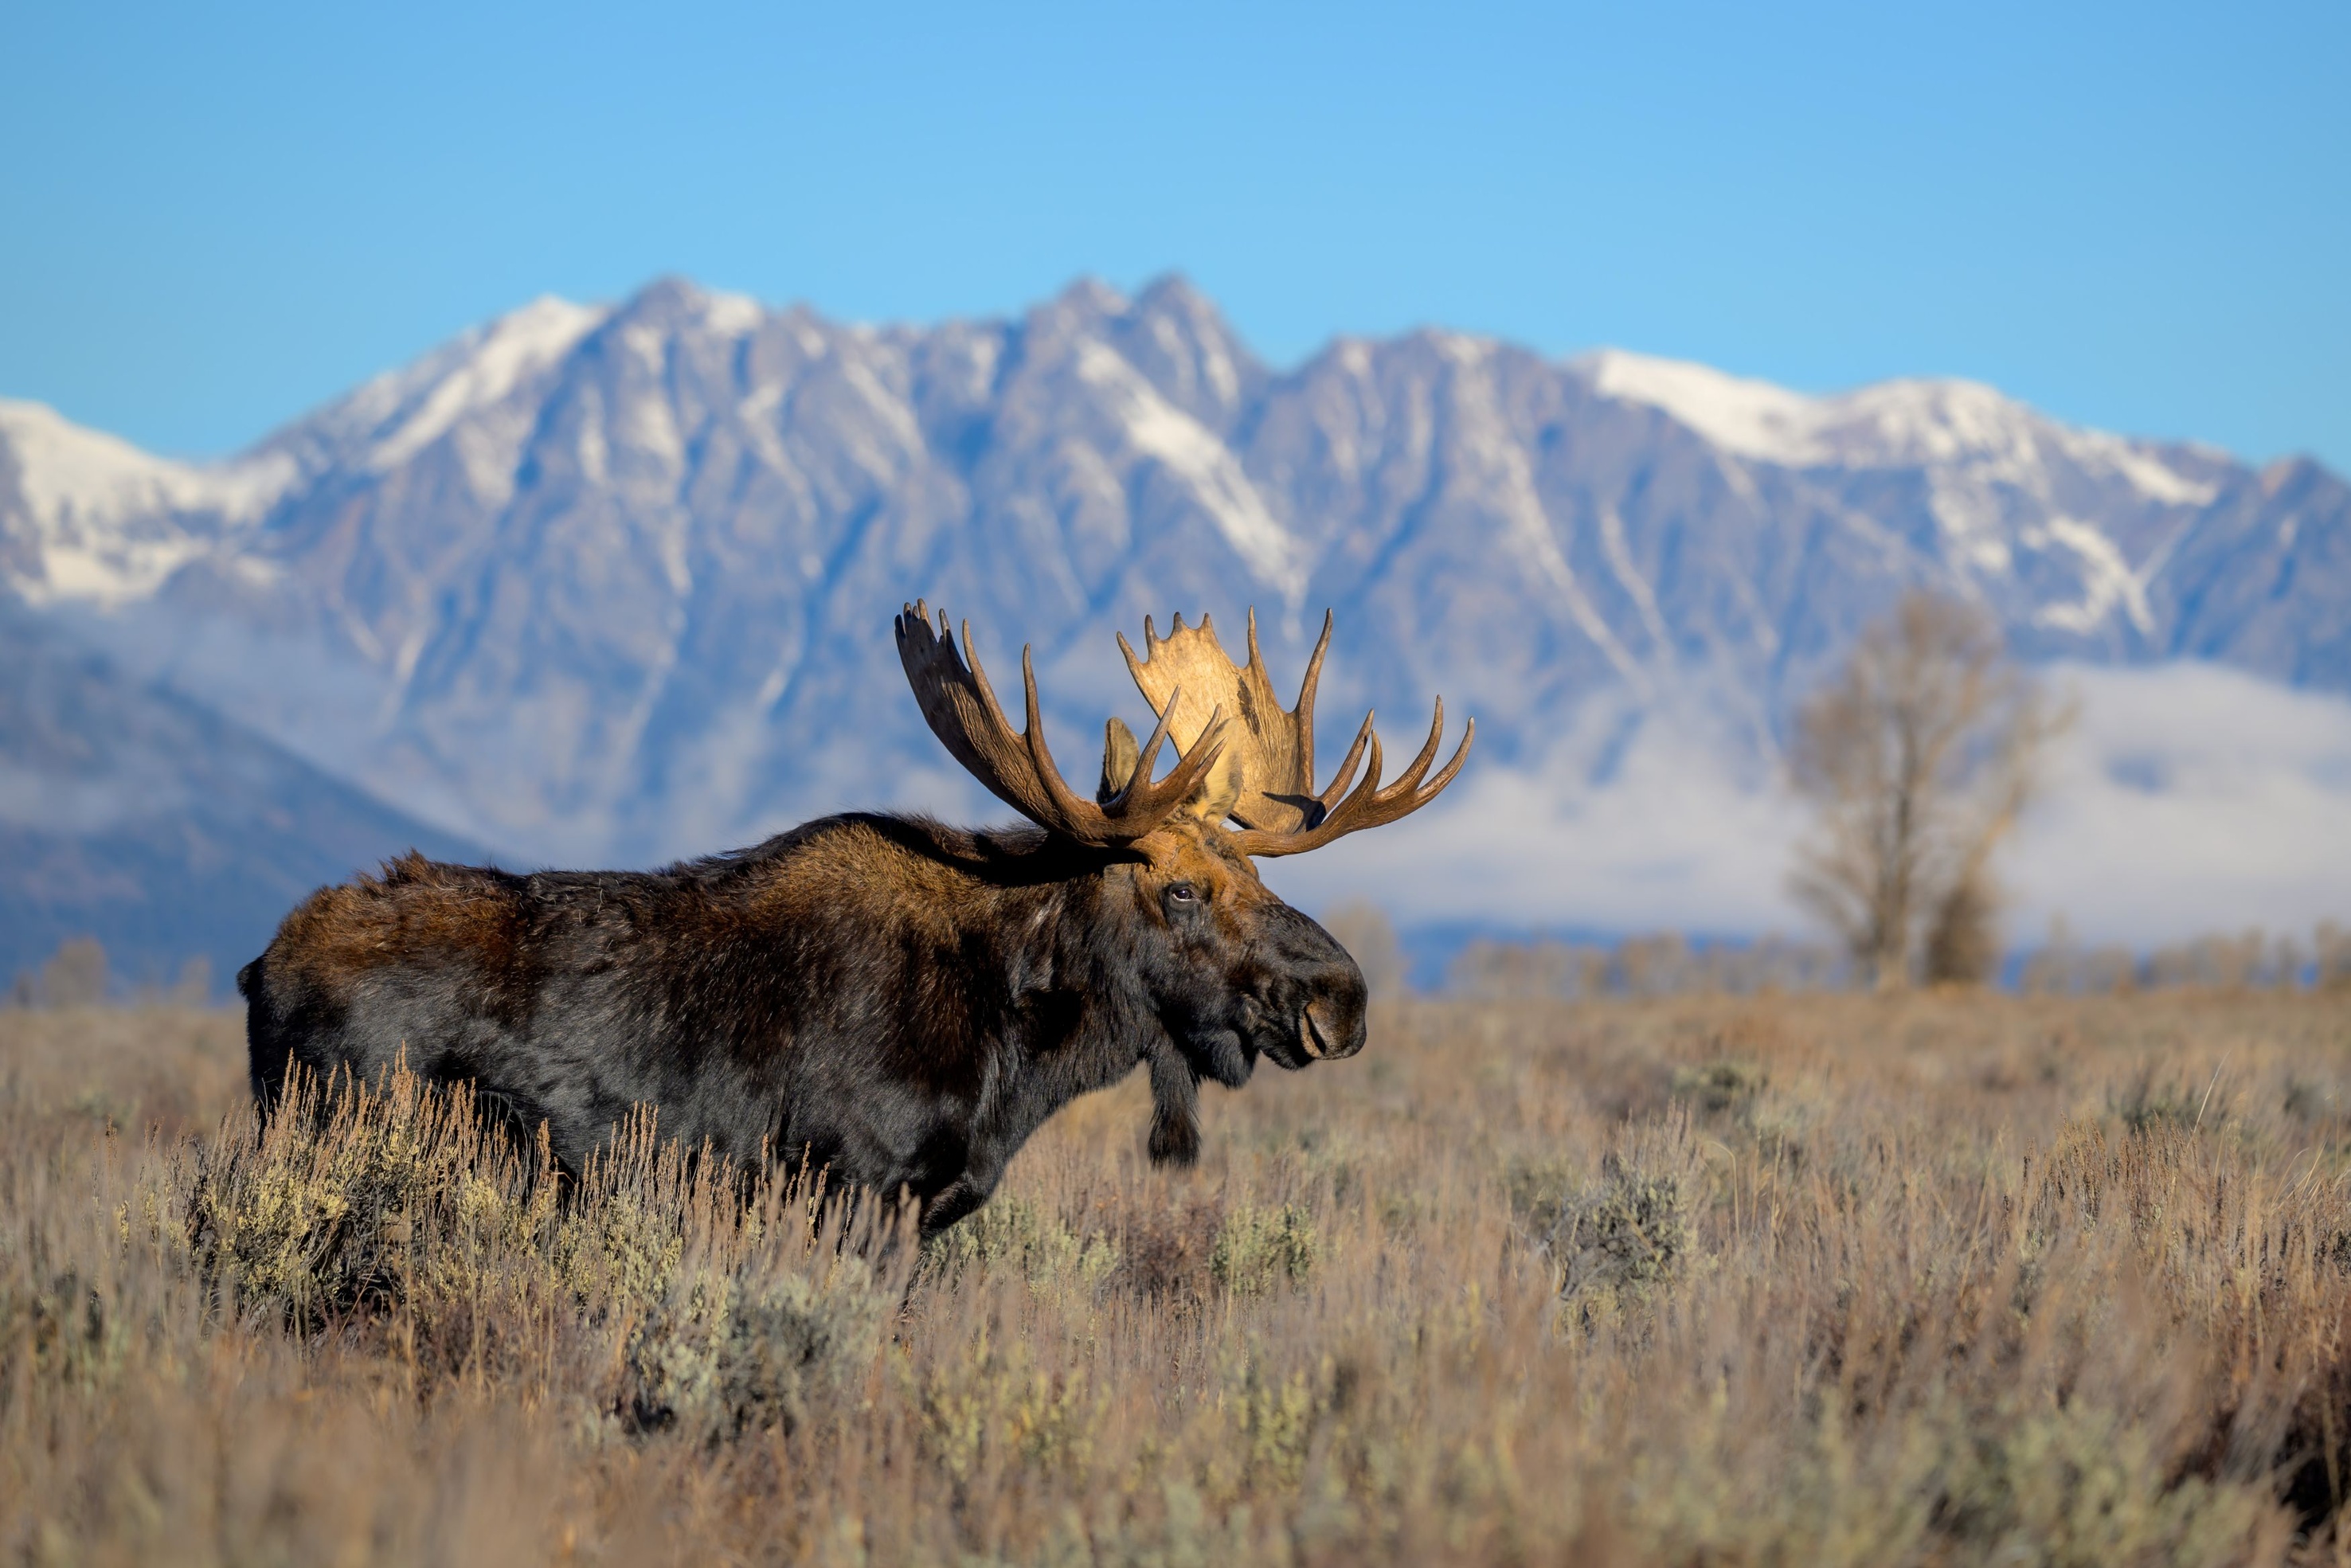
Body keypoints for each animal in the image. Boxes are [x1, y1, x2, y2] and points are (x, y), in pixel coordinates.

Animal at [240, 604, 1471, 1235]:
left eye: (1253, 871)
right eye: (1179, 888)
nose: (1342, 999)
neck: (1016, 1055)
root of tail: (258, 969)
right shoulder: (854, 1189)